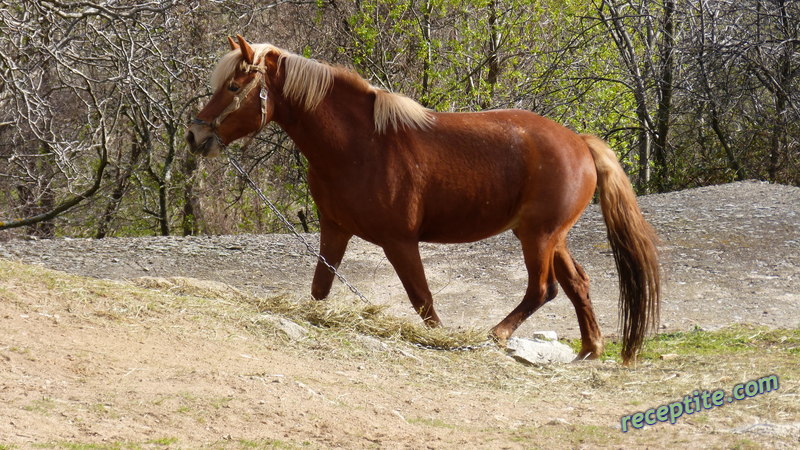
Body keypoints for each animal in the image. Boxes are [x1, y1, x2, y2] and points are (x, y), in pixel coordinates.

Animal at [189, 35, 664, 366]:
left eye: (234, 85)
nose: (195, 136)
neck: (359, 144)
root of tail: (580, 142)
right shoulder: (334, 230)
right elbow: (320, 290)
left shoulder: (399, 242)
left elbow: (424, 302)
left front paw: (441, 340)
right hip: (550, 237)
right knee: (577, 284)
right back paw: (590, 350)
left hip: (539, 236)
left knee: (542, 289)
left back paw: (497, 335)